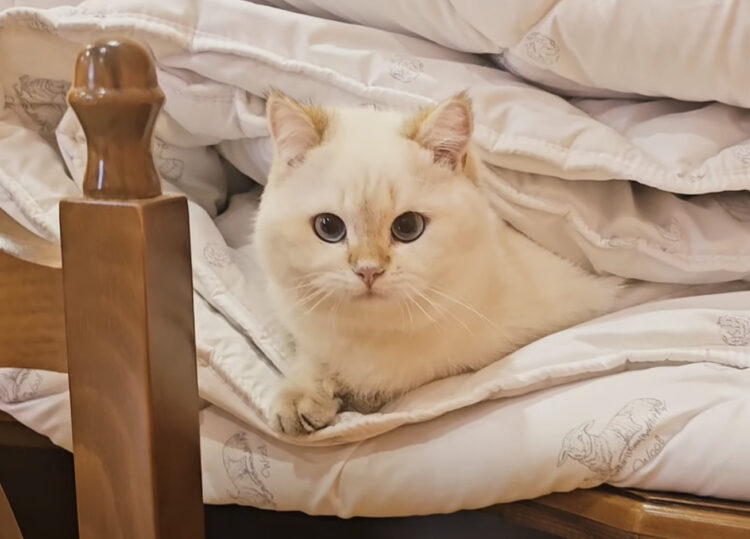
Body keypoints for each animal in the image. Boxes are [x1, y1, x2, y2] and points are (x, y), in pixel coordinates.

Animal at [254, 92, 673, 435]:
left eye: (408, 227)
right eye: (329, 227)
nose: (368, 270)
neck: (377, 338)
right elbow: (313, 359)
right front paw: (300, 397)